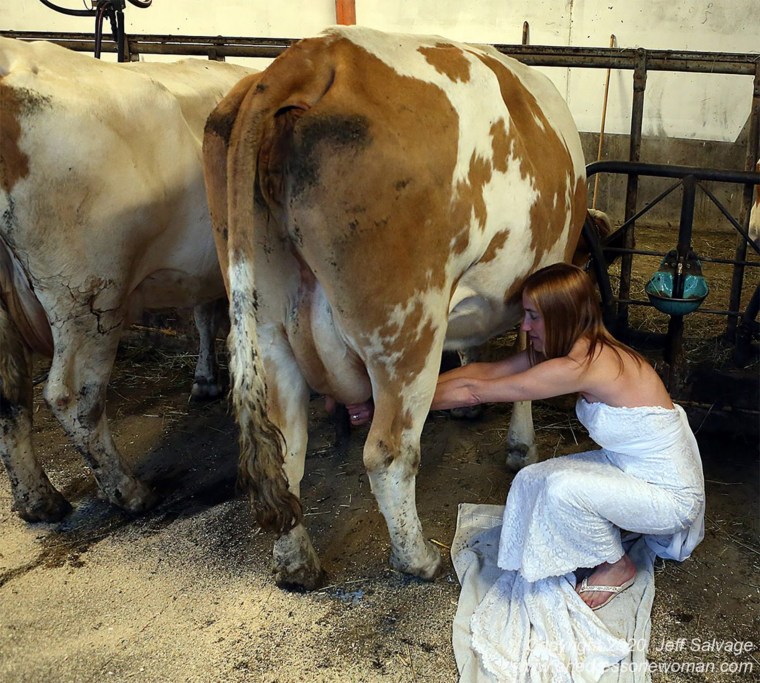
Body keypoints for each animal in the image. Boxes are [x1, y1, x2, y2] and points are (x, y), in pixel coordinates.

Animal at [0, 37, 255, 524]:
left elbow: (204, 315)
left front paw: (205, 380)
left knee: (9, 398)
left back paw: (39, 501)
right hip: (89, 295)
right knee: (72, 396)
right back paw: (129, 491)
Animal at [205, 29, 592, 592]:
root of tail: (313, 54)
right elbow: (528, 365)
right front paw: (521, 447)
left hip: (267, 327)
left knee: (286, 450)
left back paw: (297, 565)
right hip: (406, 328)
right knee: (388, 453)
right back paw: (419, 559)